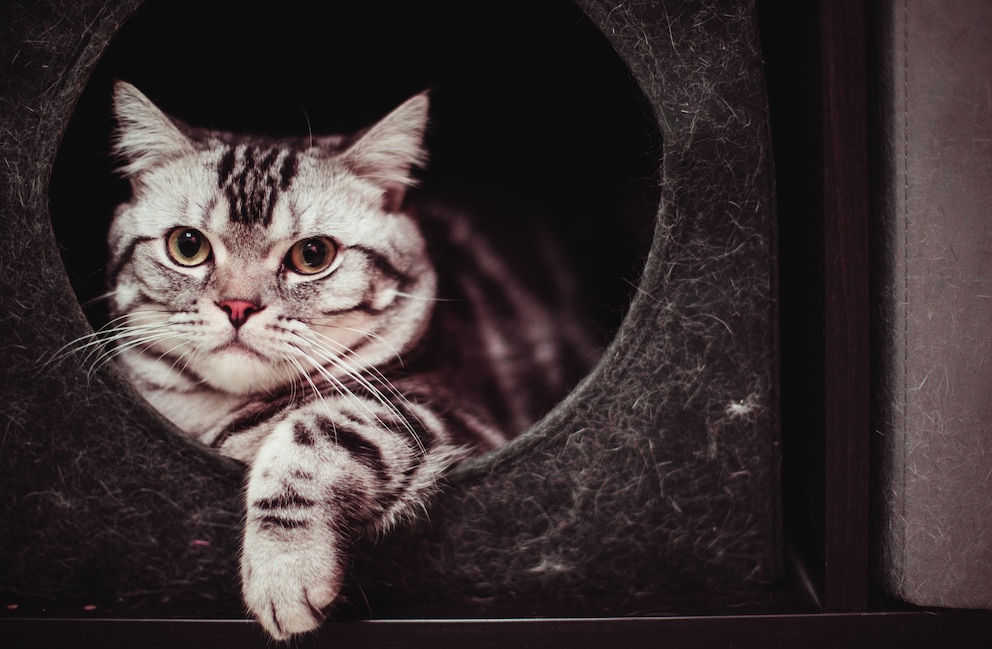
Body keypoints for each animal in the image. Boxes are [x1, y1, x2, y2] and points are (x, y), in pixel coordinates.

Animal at [97, 81, 596, 636]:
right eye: (187, 246)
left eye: (312, 255)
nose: (238, 306)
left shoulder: (454, 417)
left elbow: (314, 431)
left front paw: (285, 571)